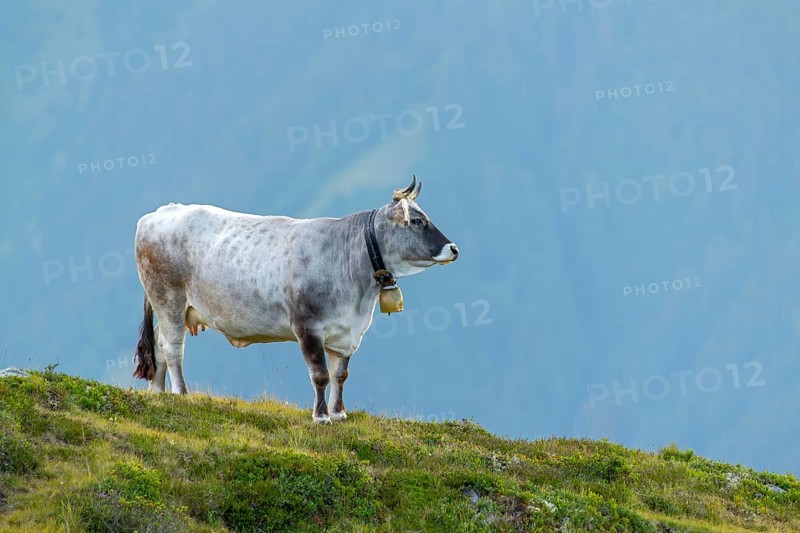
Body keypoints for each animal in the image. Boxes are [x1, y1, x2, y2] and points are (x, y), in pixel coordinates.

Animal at [132, 176, 459, 423]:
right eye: (417, 221)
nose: (453, 248)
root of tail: (158, 213)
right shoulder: (307, 327)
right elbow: (320, 375)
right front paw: (321, 417)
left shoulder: (347, 332)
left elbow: (341, 374)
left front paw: (339, 413)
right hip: (169, 298)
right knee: (173, 348)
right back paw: (181, 392)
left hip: (175, 306)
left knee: (159, 345)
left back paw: (157, 392)